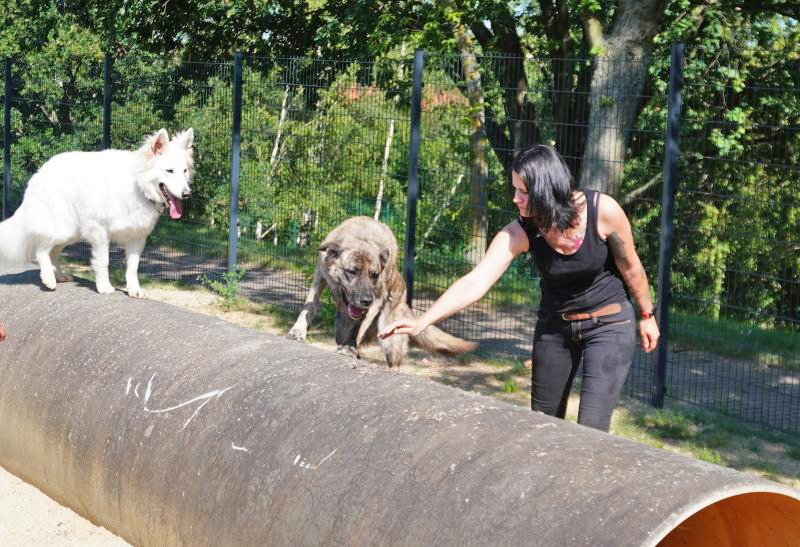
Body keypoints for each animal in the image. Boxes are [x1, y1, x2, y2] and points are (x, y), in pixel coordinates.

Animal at [0, 128, 194, 298]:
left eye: (184, 171)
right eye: (169, 171)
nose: (187, 194)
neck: (139, 186)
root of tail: (41, 171)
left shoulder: (137, 237)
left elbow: (133, 267)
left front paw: (134, 290)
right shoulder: (100, 232)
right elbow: (103, 261)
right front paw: (104, 287)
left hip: (72, 233)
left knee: (53, 252)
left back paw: (59, 275)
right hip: (62, 228)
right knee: (41, 250)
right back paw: (49, 279)